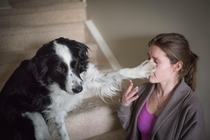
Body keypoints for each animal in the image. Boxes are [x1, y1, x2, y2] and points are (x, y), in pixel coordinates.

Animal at [0, 37, 154, 140]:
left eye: (75, 63)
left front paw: (142, 70)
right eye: (58, 69)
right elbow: (63, 135)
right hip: (34, 117)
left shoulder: (88, 78)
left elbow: (119, 72)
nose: (79, 89)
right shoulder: (54, 113)